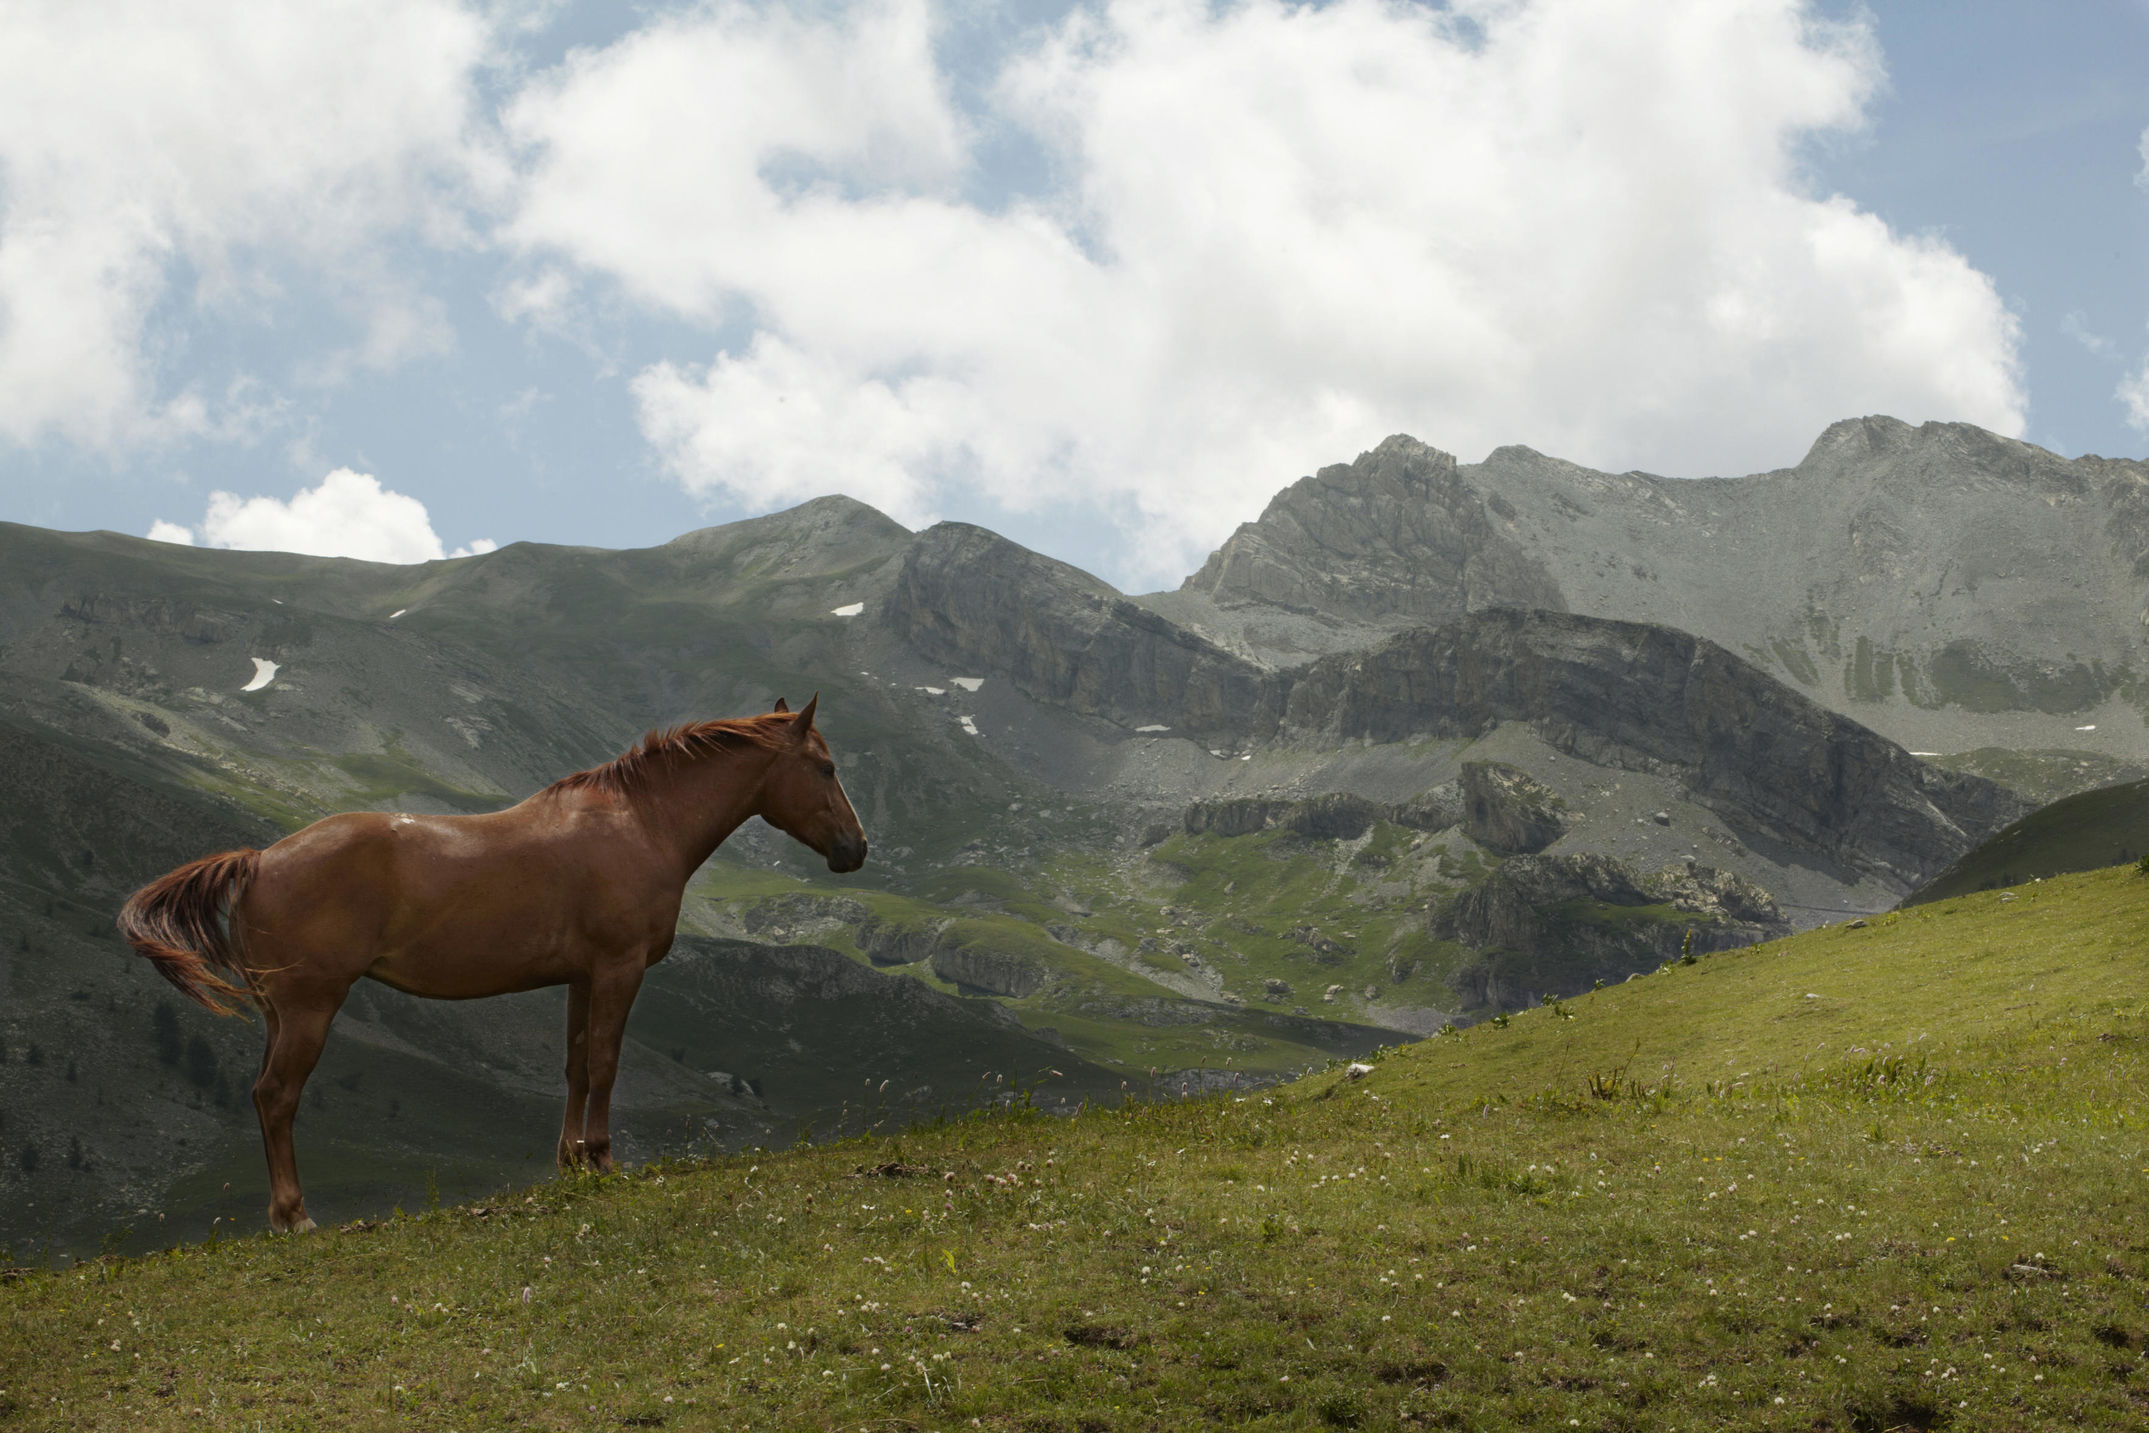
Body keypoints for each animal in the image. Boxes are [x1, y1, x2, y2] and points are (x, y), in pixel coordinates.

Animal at [115, 696, 863, 1237]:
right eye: (826, 768)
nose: (856, 848)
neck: (639, 823)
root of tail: (259, 860)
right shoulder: (618, 969)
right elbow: (605, 1064)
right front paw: (600, 1157)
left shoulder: (582, 977)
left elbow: (577, 1064)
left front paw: (569, 1161)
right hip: (309, 1009)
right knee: (276, 1097)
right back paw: (295, 1216)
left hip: (278, 1013)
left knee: (263, 1095)